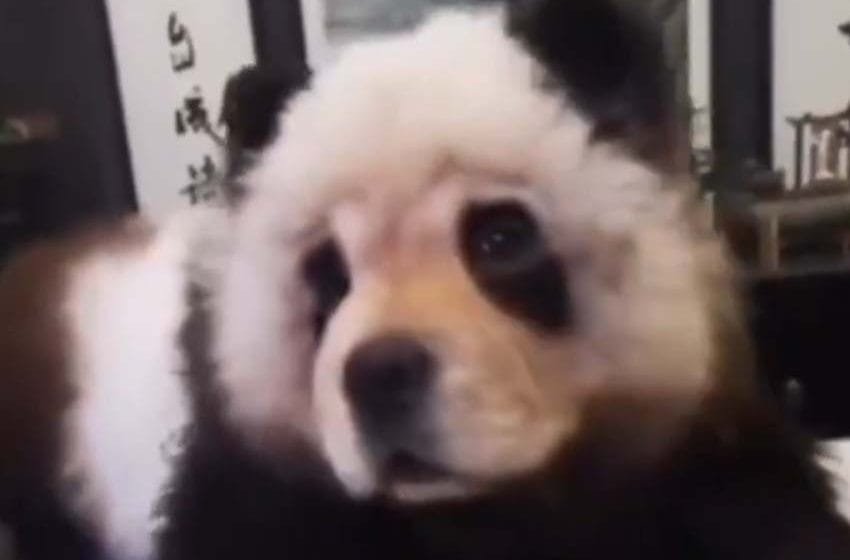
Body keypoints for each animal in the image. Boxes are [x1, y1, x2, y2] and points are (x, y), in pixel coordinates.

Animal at [1, 0, 850, 559]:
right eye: (327, 276)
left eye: (500, 239)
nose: (378, 375)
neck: (473, 510)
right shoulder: (257, 488)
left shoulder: (690, 456)